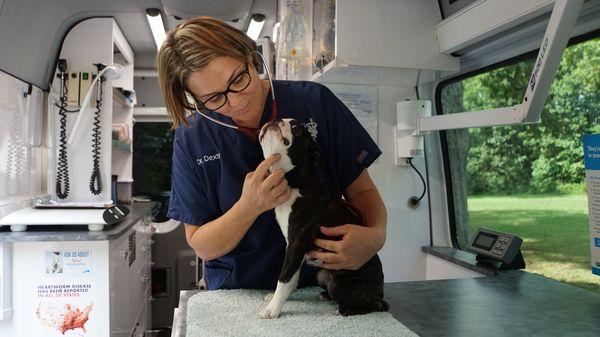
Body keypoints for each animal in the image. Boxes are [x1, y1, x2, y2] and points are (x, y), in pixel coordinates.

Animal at [258, 118, 390, 318]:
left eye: (296, 128)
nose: (275, 120)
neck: (296, 182)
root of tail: (379, 292)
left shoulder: (297, 242)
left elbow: (284, 277)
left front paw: (272, 309)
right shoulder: (293, 245)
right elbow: (292, 278)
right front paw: (277, 298)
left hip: (342, 285)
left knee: (374, 305)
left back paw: (344, 309)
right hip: (322, 274)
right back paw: (324, 295)